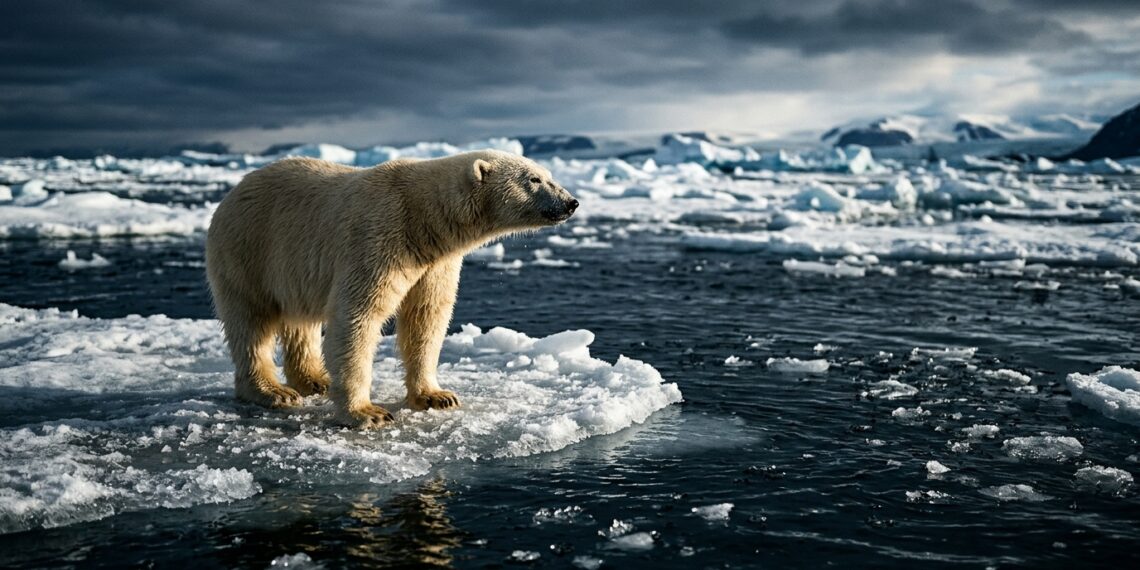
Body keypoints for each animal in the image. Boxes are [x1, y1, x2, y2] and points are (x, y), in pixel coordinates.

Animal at [205, 150, 578, 428]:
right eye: (534, 179)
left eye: (548, 174)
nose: (571, 202)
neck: (423, 218)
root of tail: (232, 193)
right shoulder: (378, 239)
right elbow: (358, 317)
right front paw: (366, 413)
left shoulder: (433, 262)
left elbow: (426, 318)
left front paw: (437, 396)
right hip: (248, 249)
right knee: (251, 322)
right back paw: (272, 391)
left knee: (300, 321)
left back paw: (315, 380)